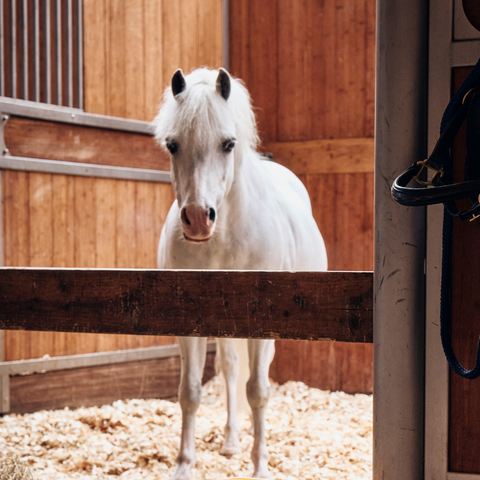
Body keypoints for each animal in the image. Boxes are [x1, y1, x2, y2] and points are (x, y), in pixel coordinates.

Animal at [154, 68, 326, 480]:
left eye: (228, 144)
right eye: (172, 144)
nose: (198, 219)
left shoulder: (261, 328)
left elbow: (258, 392)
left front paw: (261, 465)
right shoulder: (189, 325)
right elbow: (191, 392)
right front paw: (184, 465)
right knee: (231, 369)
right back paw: (231, 441)